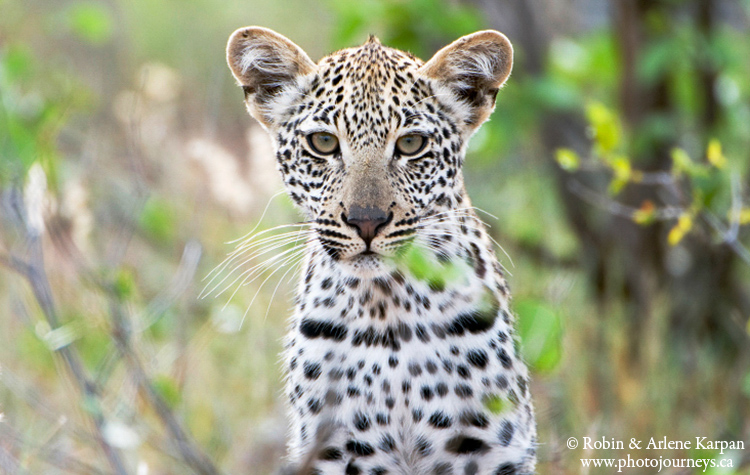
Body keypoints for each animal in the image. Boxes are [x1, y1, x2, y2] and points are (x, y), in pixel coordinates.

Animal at [226, 27, 536, 475]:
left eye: (411, 144)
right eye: (323, 142)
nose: (367, 221)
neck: (387, 308)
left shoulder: (492, 449)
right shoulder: (335, 450)